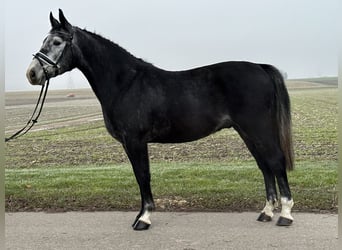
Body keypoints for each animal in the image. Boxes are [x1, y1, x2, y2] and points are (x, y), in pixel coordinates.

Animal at [26, 8, 294, 229]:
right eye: (44, 41)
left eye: (57, 42)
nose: (32, 73)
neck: (125, 83)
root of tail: (259, 67)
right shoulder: (131, 143)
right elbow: (140, 176)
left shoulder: (135, 141)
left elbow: (142, 175)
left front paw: (144, 218)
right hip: (247, 131)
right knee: (264, 165)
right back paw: (266, 212)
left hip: (259, 129)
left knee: (276, 161)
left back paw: (285, 214)